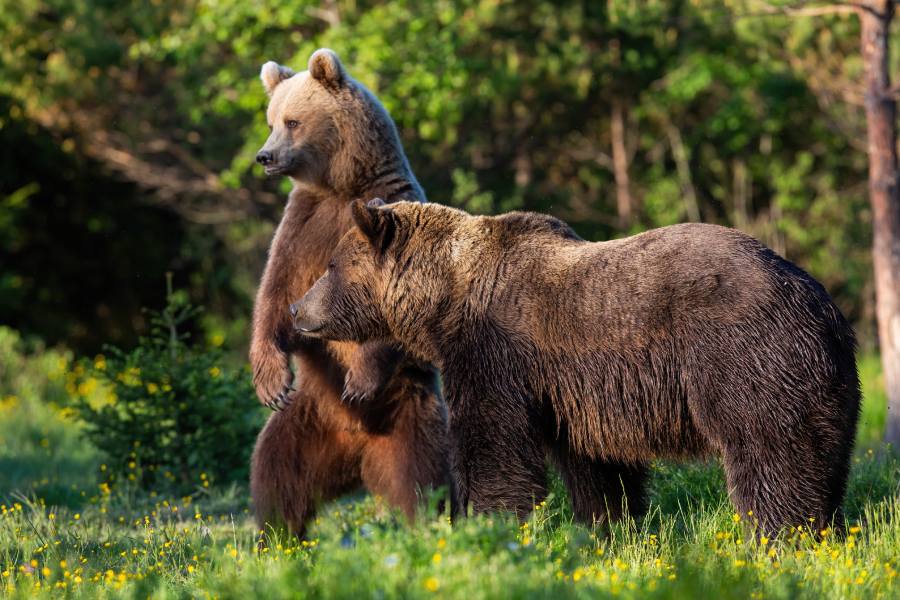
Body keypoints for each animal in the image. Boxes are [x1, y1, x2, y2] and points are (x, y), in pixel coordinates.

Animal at [248, 50, 450, 537]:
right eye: (270, 120)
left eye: (293, 121)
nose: (264, 156)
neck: (341, 187)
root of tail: (356, 454)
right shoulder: (303, 228)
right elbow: (276, 297)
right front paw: (270, 380)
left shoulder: (387, 215)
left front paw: (359, 378)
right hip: (304, 422)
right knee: (275, 476)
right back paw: (276, 538)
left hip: (409, 414)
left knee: (424, 479)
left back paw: (430, 527)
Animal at [290, 199, 861, 534]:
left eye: (332, 266)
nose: (298, 309)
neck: (445, 298)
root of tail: (818, 300)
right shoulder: (574, 390)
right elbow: (595, 464)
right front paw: (608, 527)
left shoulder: (496, 351)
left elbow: (492, 444)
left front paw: (488, 524)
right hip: (822, 381)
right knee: (821, 455)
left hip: (745, 357)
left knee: (768, 453)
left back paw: (778, 533)